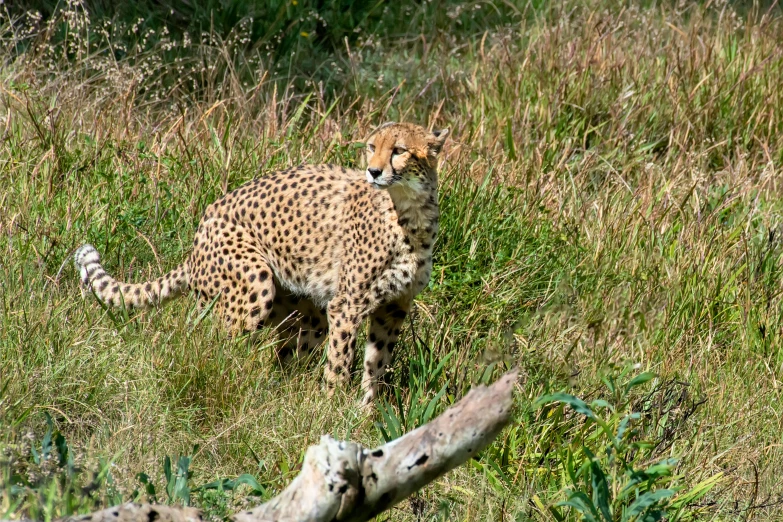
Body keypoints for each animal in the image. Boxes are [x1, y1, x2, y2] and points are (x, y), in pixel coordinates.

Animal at [78, 123, 454, 406]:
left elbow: (377, 362)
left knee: (287, 355)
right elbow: (339, 361)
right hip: (253, 284)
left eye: (399, 150)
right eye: (372, 146)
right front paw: (330, 409)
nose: (373, 171)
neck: (409, 212)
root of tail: (199, 234)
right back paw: (224, 382)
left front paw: (367, 413)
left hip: (306, 310)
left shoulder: (394, 307)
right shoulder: (348, 304)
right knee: (209, 343)